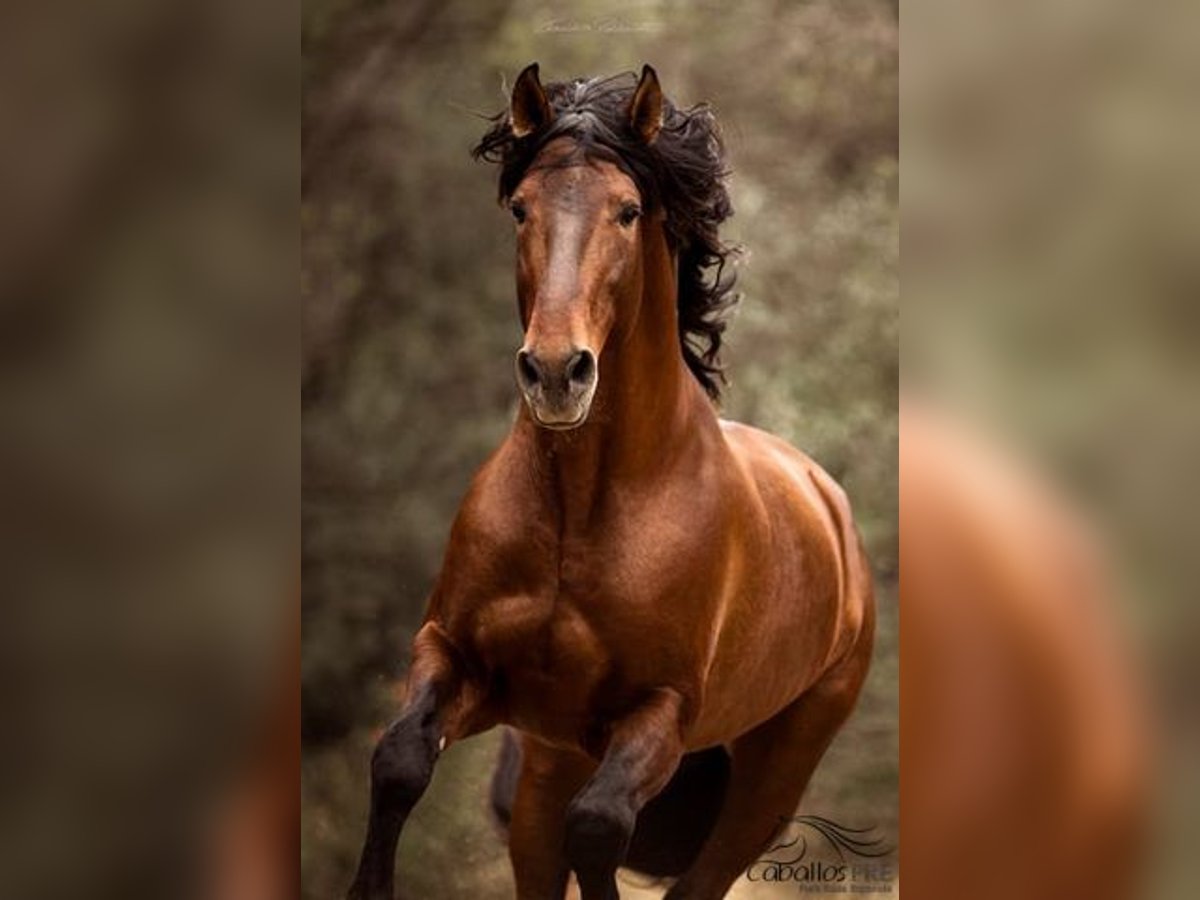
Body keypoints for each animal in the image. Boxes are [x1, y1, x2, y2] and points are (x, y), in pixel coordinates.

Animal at [348, 66, 873, 900]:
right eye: (521, 208)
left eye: (628, 211)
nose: (557, 372)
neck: (582, 510)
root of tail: (829, 503)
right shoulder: (457, 657)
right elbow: (397, 761)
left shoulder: (658, 713)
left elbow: (598, 828)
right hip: (549, 761)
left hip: (771, 779)